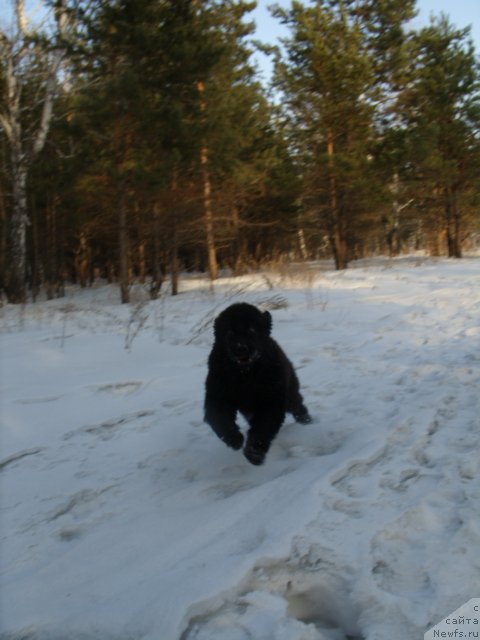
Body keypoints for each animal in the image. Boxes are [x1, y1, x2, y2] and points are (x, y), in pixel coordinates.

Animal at [203, 302, 312, 462]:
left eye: (251, 331)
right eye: (229, 333)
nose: (241, 348)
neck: (245, 375)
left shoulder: (271, 400)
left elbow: (263, 427)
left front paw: (254, 453)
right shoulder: (218, 395)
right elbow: (219, 418)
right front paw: (234, 439)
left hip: (290, 393)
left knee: (298, 406)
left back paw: (307, 421)